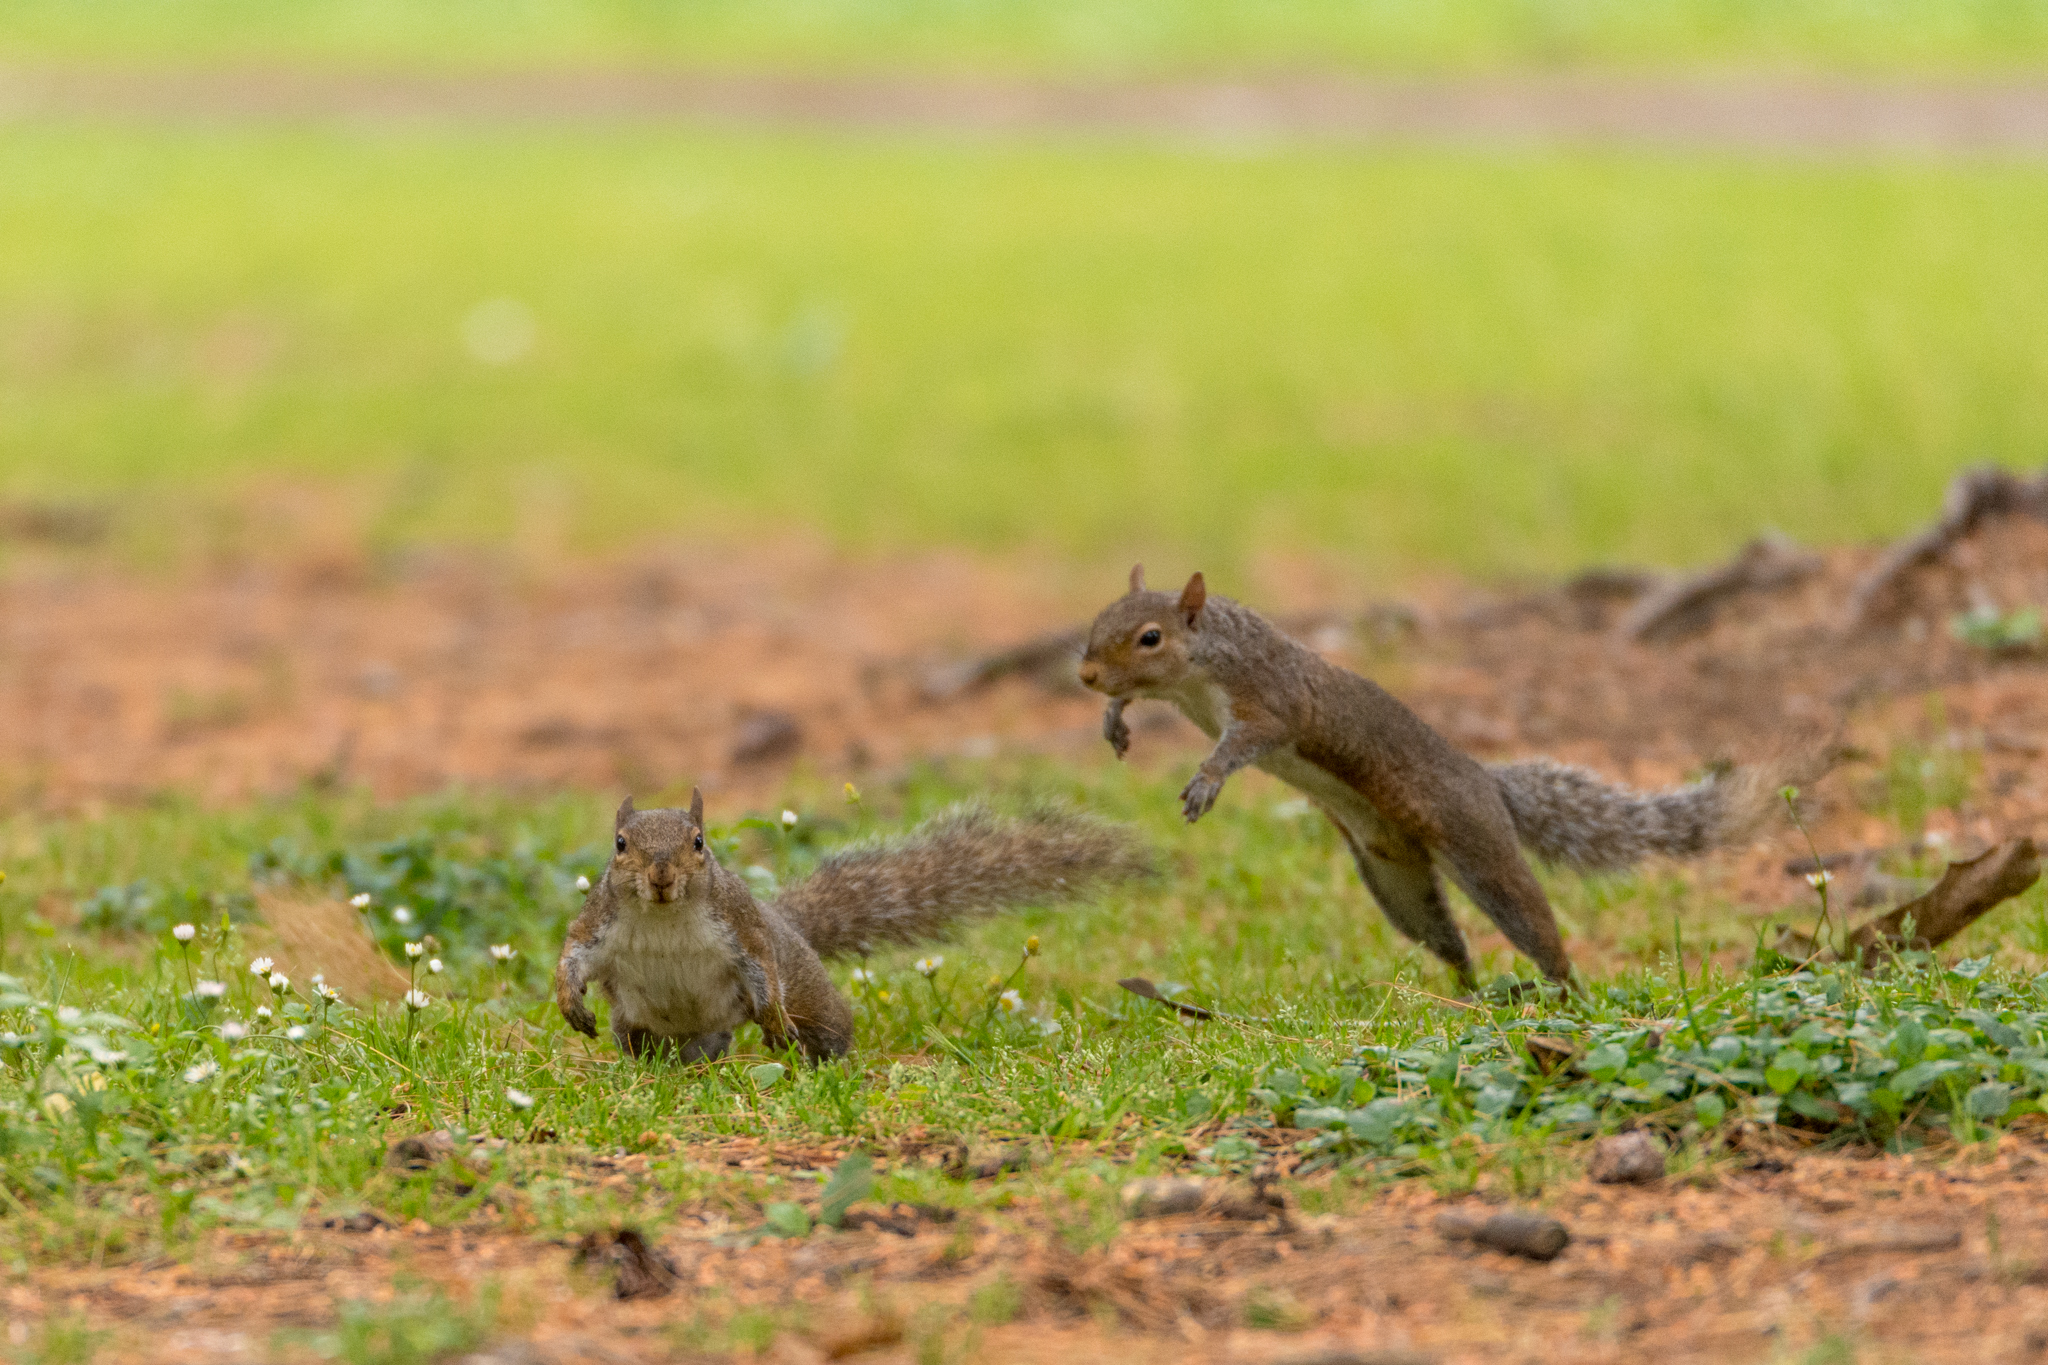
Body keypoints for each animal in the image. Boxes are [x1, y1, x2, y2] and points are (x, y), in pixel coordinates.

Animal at [554, 789, 1151, 1061]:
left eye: (698, 843)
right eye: (620, 844)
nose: (660, 875)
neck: (664, 915)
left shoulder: (744, 930)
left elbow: (761, 967)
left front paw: (774, 1022)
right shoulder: (597, 922)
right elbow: (573, 955)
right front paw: (570, 1003)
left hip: (809, 995)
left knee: (823, 1022)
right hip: (635, 1023)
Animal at [1079, 566, 1830, 988]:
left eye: (1149, 637)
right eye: (1099, 619)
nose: (1084, 674)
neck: (1200, 669)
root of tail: (1488, 784)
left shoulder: (1273, 703)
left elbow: (1245, 743)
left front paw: (1206, 779)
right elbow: (1135, 707)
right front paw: (1114, 720)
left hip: (1479, 850)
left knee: (1535, 929)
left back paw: (1565, 997)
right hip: (1397, 882)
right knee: (1449, 940)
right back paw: (1462, 996)